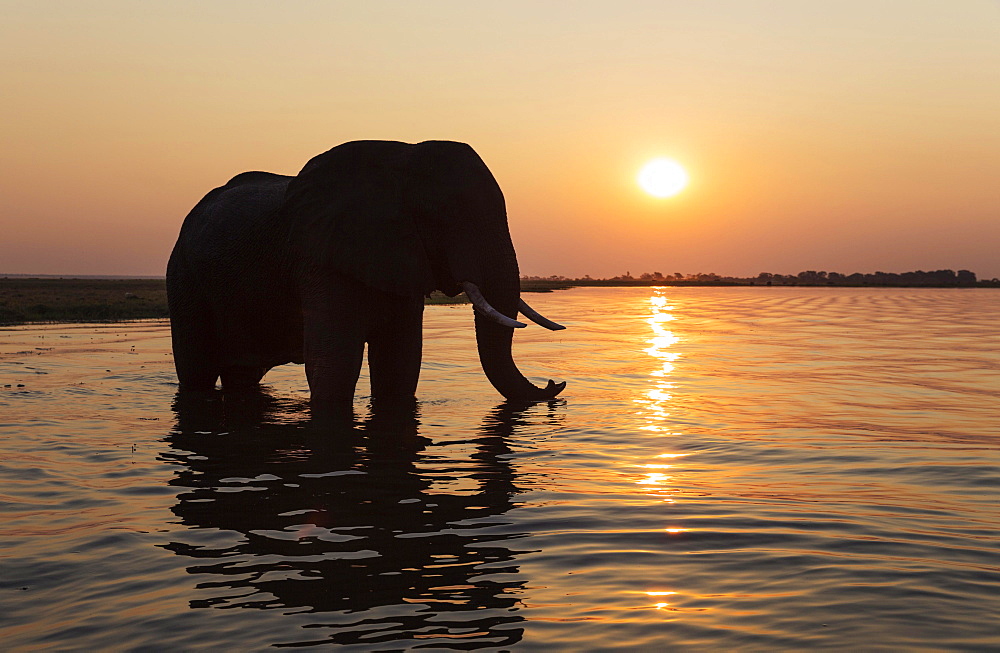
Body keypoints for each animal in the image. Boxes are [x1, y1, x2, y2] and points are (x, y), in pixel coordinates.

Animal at [168, 141, 568, 408]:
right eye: (441, 217)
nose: (555, 384)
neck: (398, 161)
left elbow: (400, 364)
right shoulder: (319, 258)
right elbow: (336, 365)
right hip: (183, 276)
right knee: (196, 371)